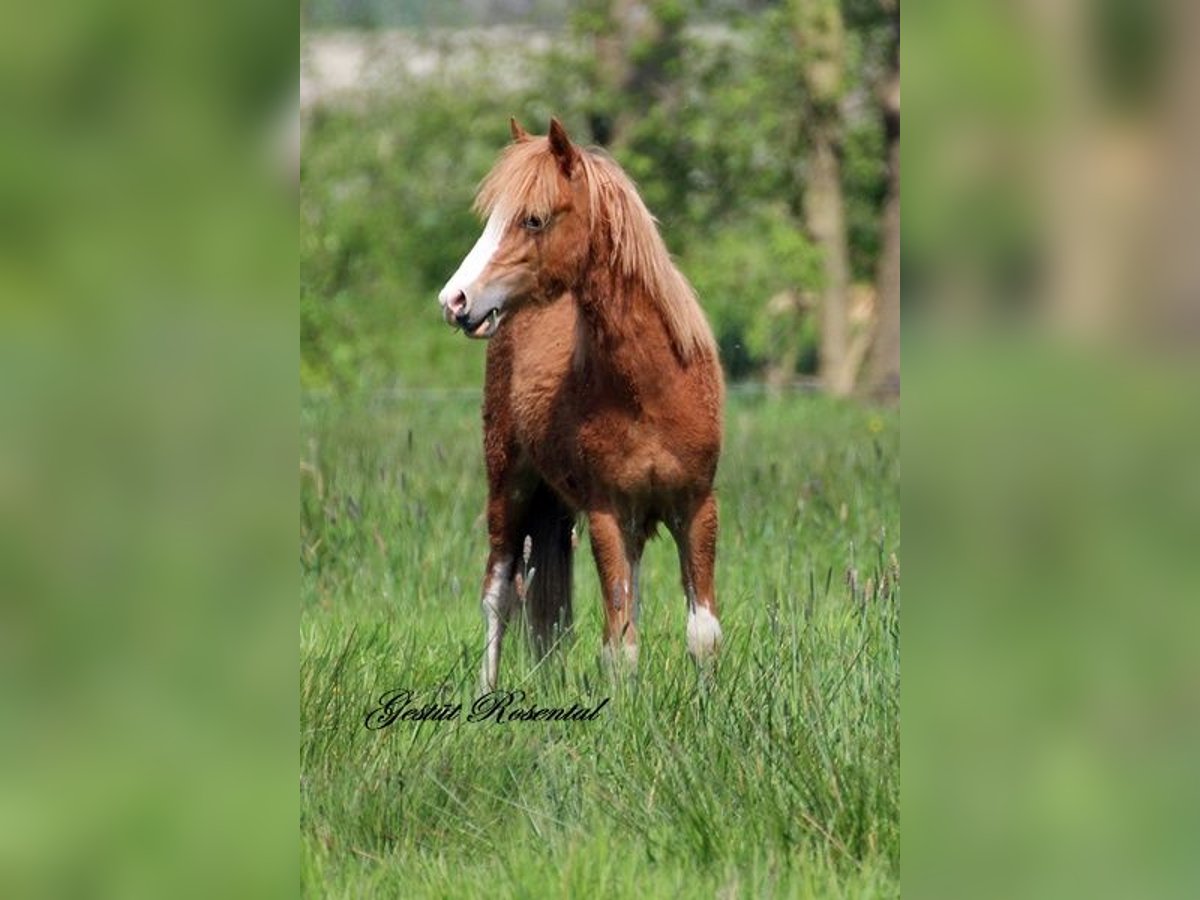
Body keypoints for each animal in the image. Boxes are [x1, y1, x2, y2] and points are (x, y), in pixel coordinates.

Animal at [439, 116, 724, 686]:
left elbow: (699, 635)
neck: (651, 390)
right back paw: (487, 691)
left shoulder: (695, 505)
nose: (455, 300)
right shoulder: (607, 513)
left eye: (532, 219)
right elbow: (619, 646)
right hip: (509, 485)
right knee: (499, 594)